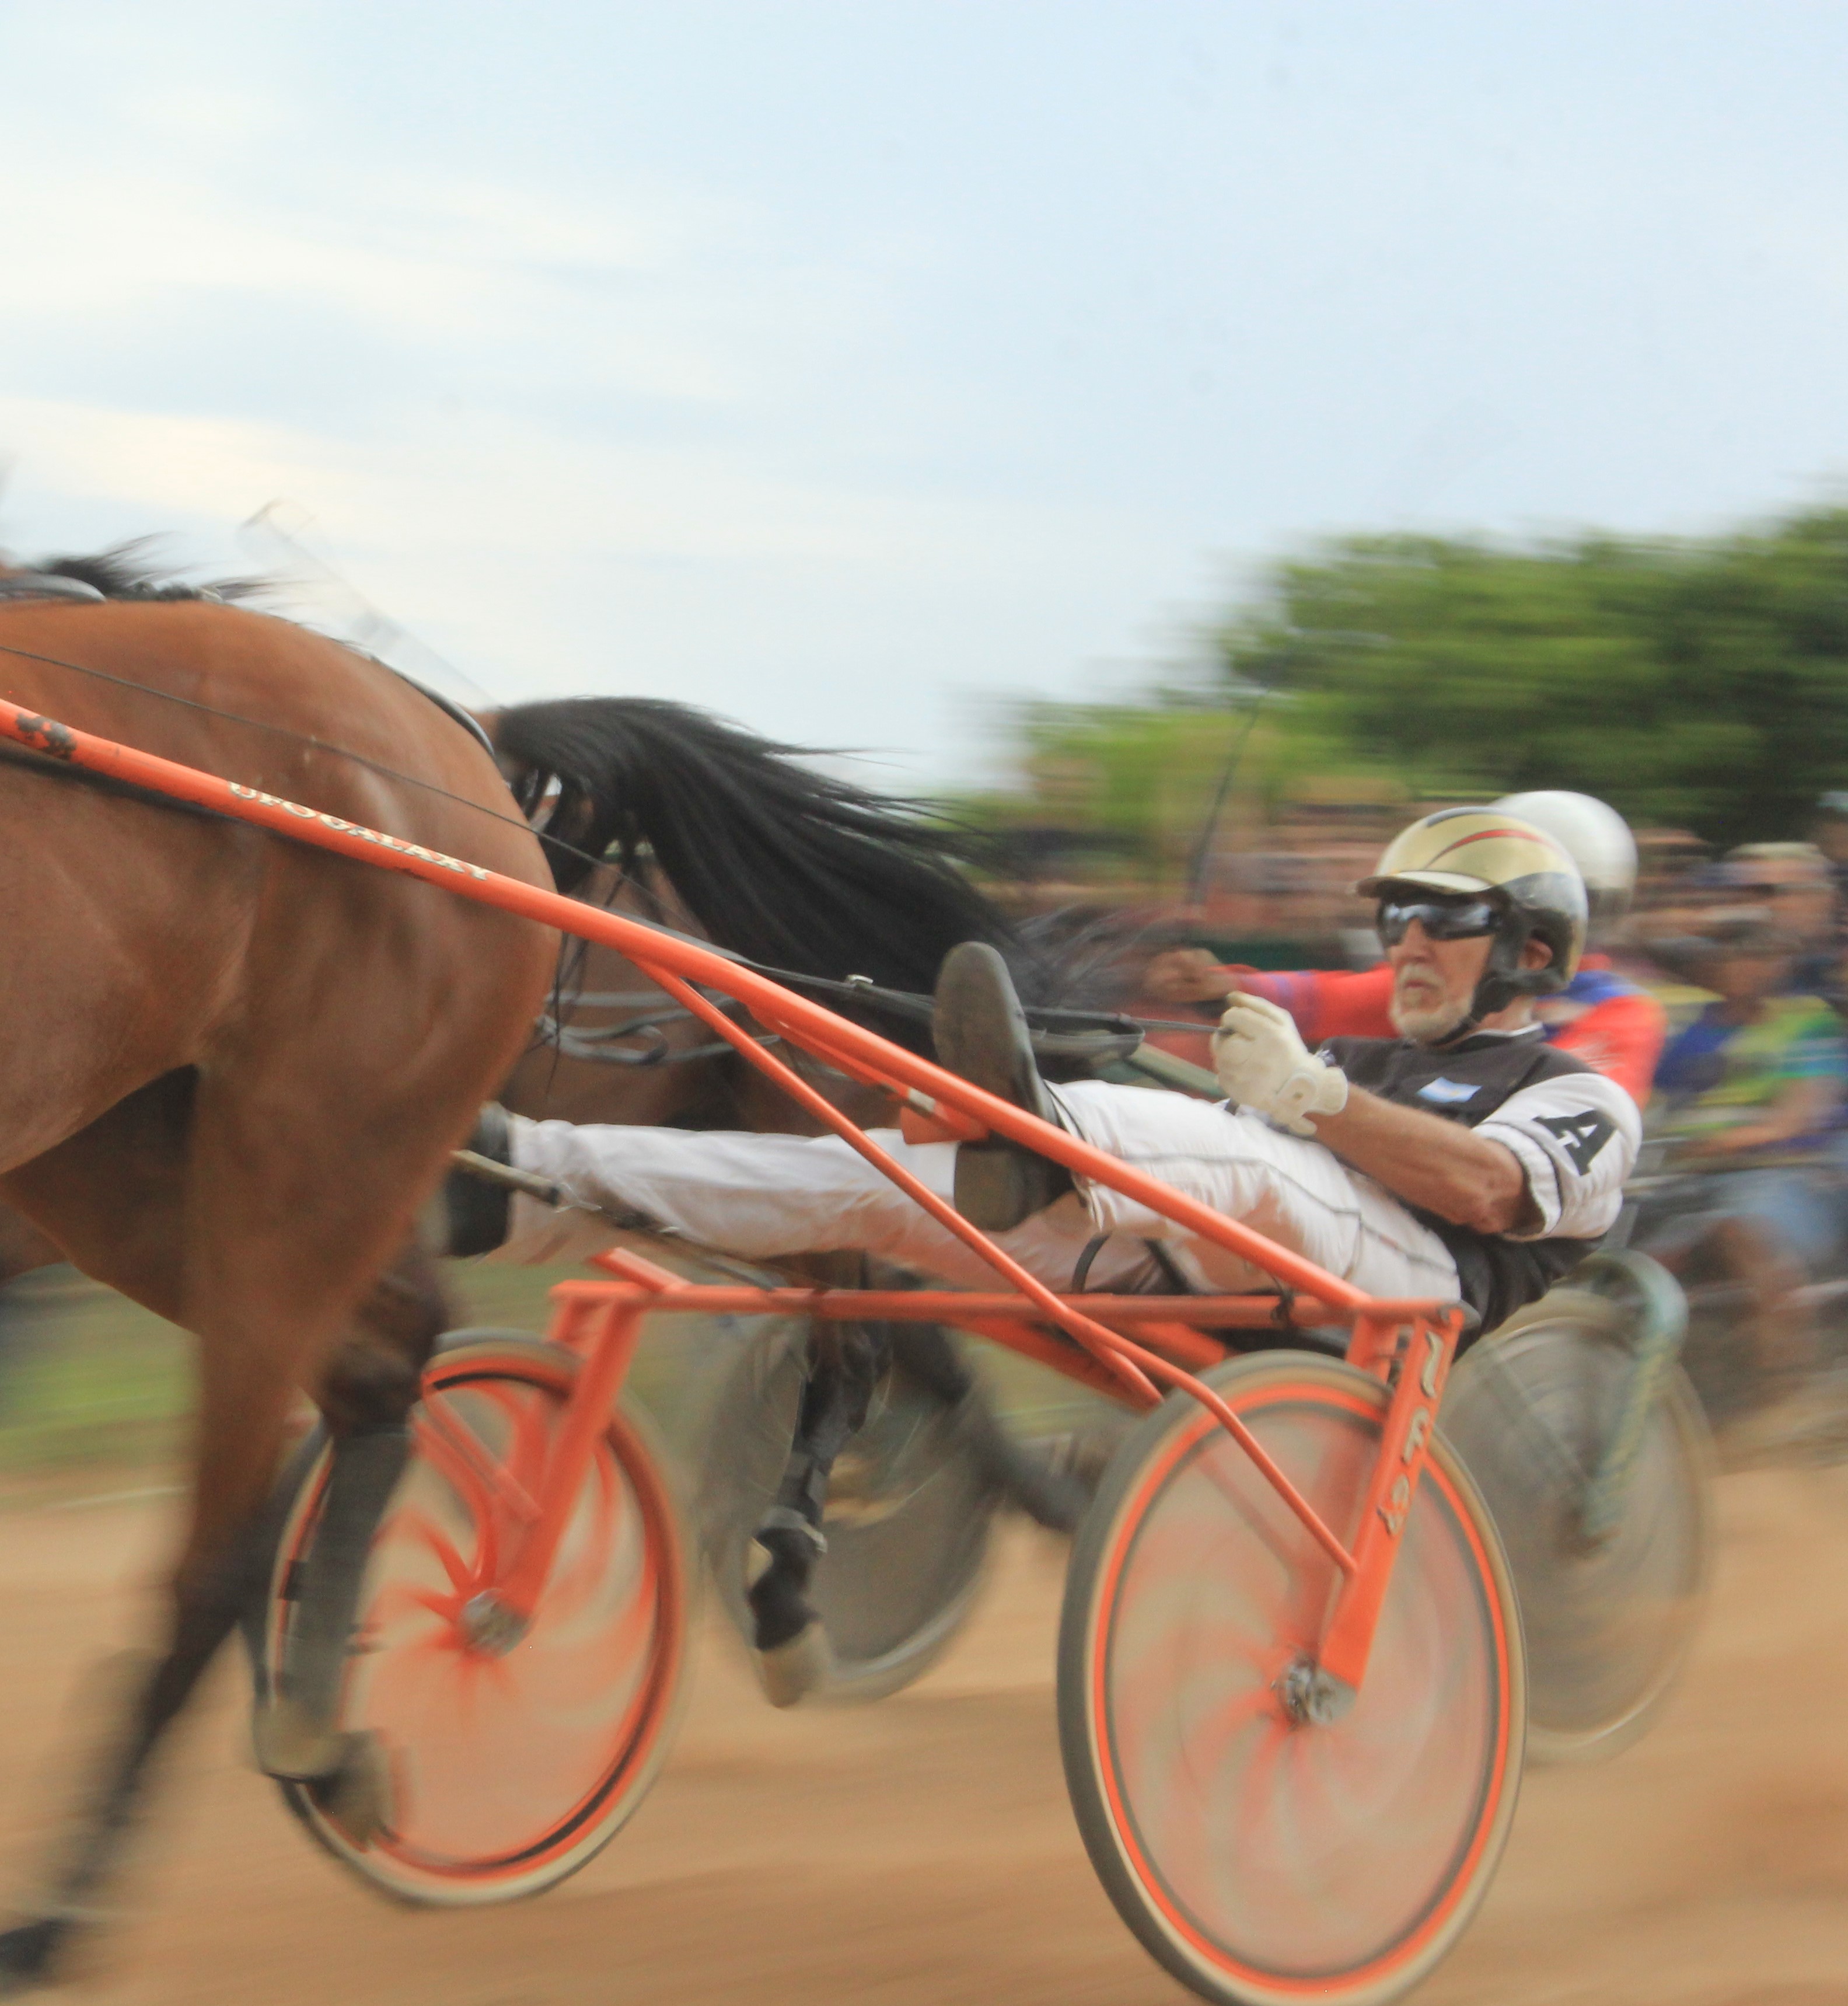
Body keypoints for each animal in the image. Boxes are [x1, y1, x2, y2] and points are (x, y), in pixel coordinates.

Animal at [0, 553, 559, 1988]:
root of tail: (452, 745)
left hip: (299, 1166)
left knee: (212, 1550)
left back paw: (62, 1912)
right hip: (125, 1168)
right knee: (376, 1373)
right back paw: (316, 1732)